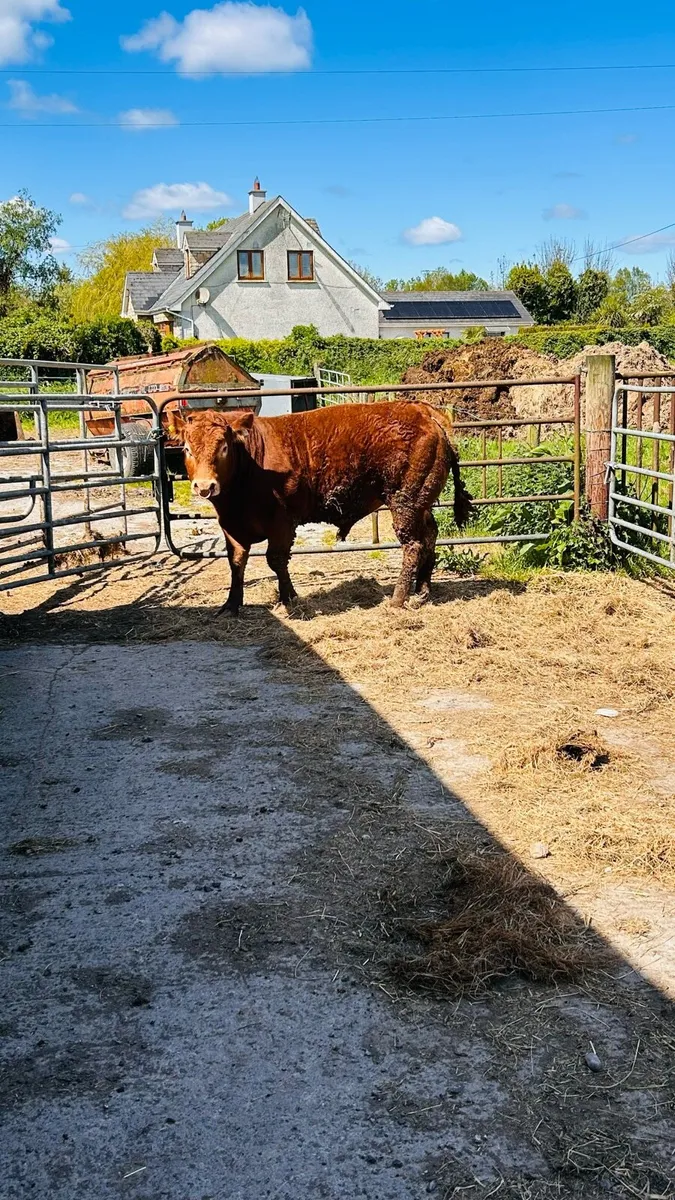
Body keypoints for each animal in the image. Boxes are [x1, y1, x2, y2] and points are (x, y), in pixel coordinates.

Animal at [175, 401, 472, 616]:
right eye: (187, 449)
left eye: (223, 447)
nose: (205, 486)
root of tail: (424, 410)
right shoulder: (231, 526)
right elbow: (236, 561)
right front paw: (231, 605)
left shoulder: (282, 521)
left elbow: (276, 560)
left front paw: (288, 599)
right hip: (421, 502)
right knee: (430, 536)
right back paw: (421, 591)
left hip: (405, 500)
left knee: (413, 545)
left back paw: (397, 599)